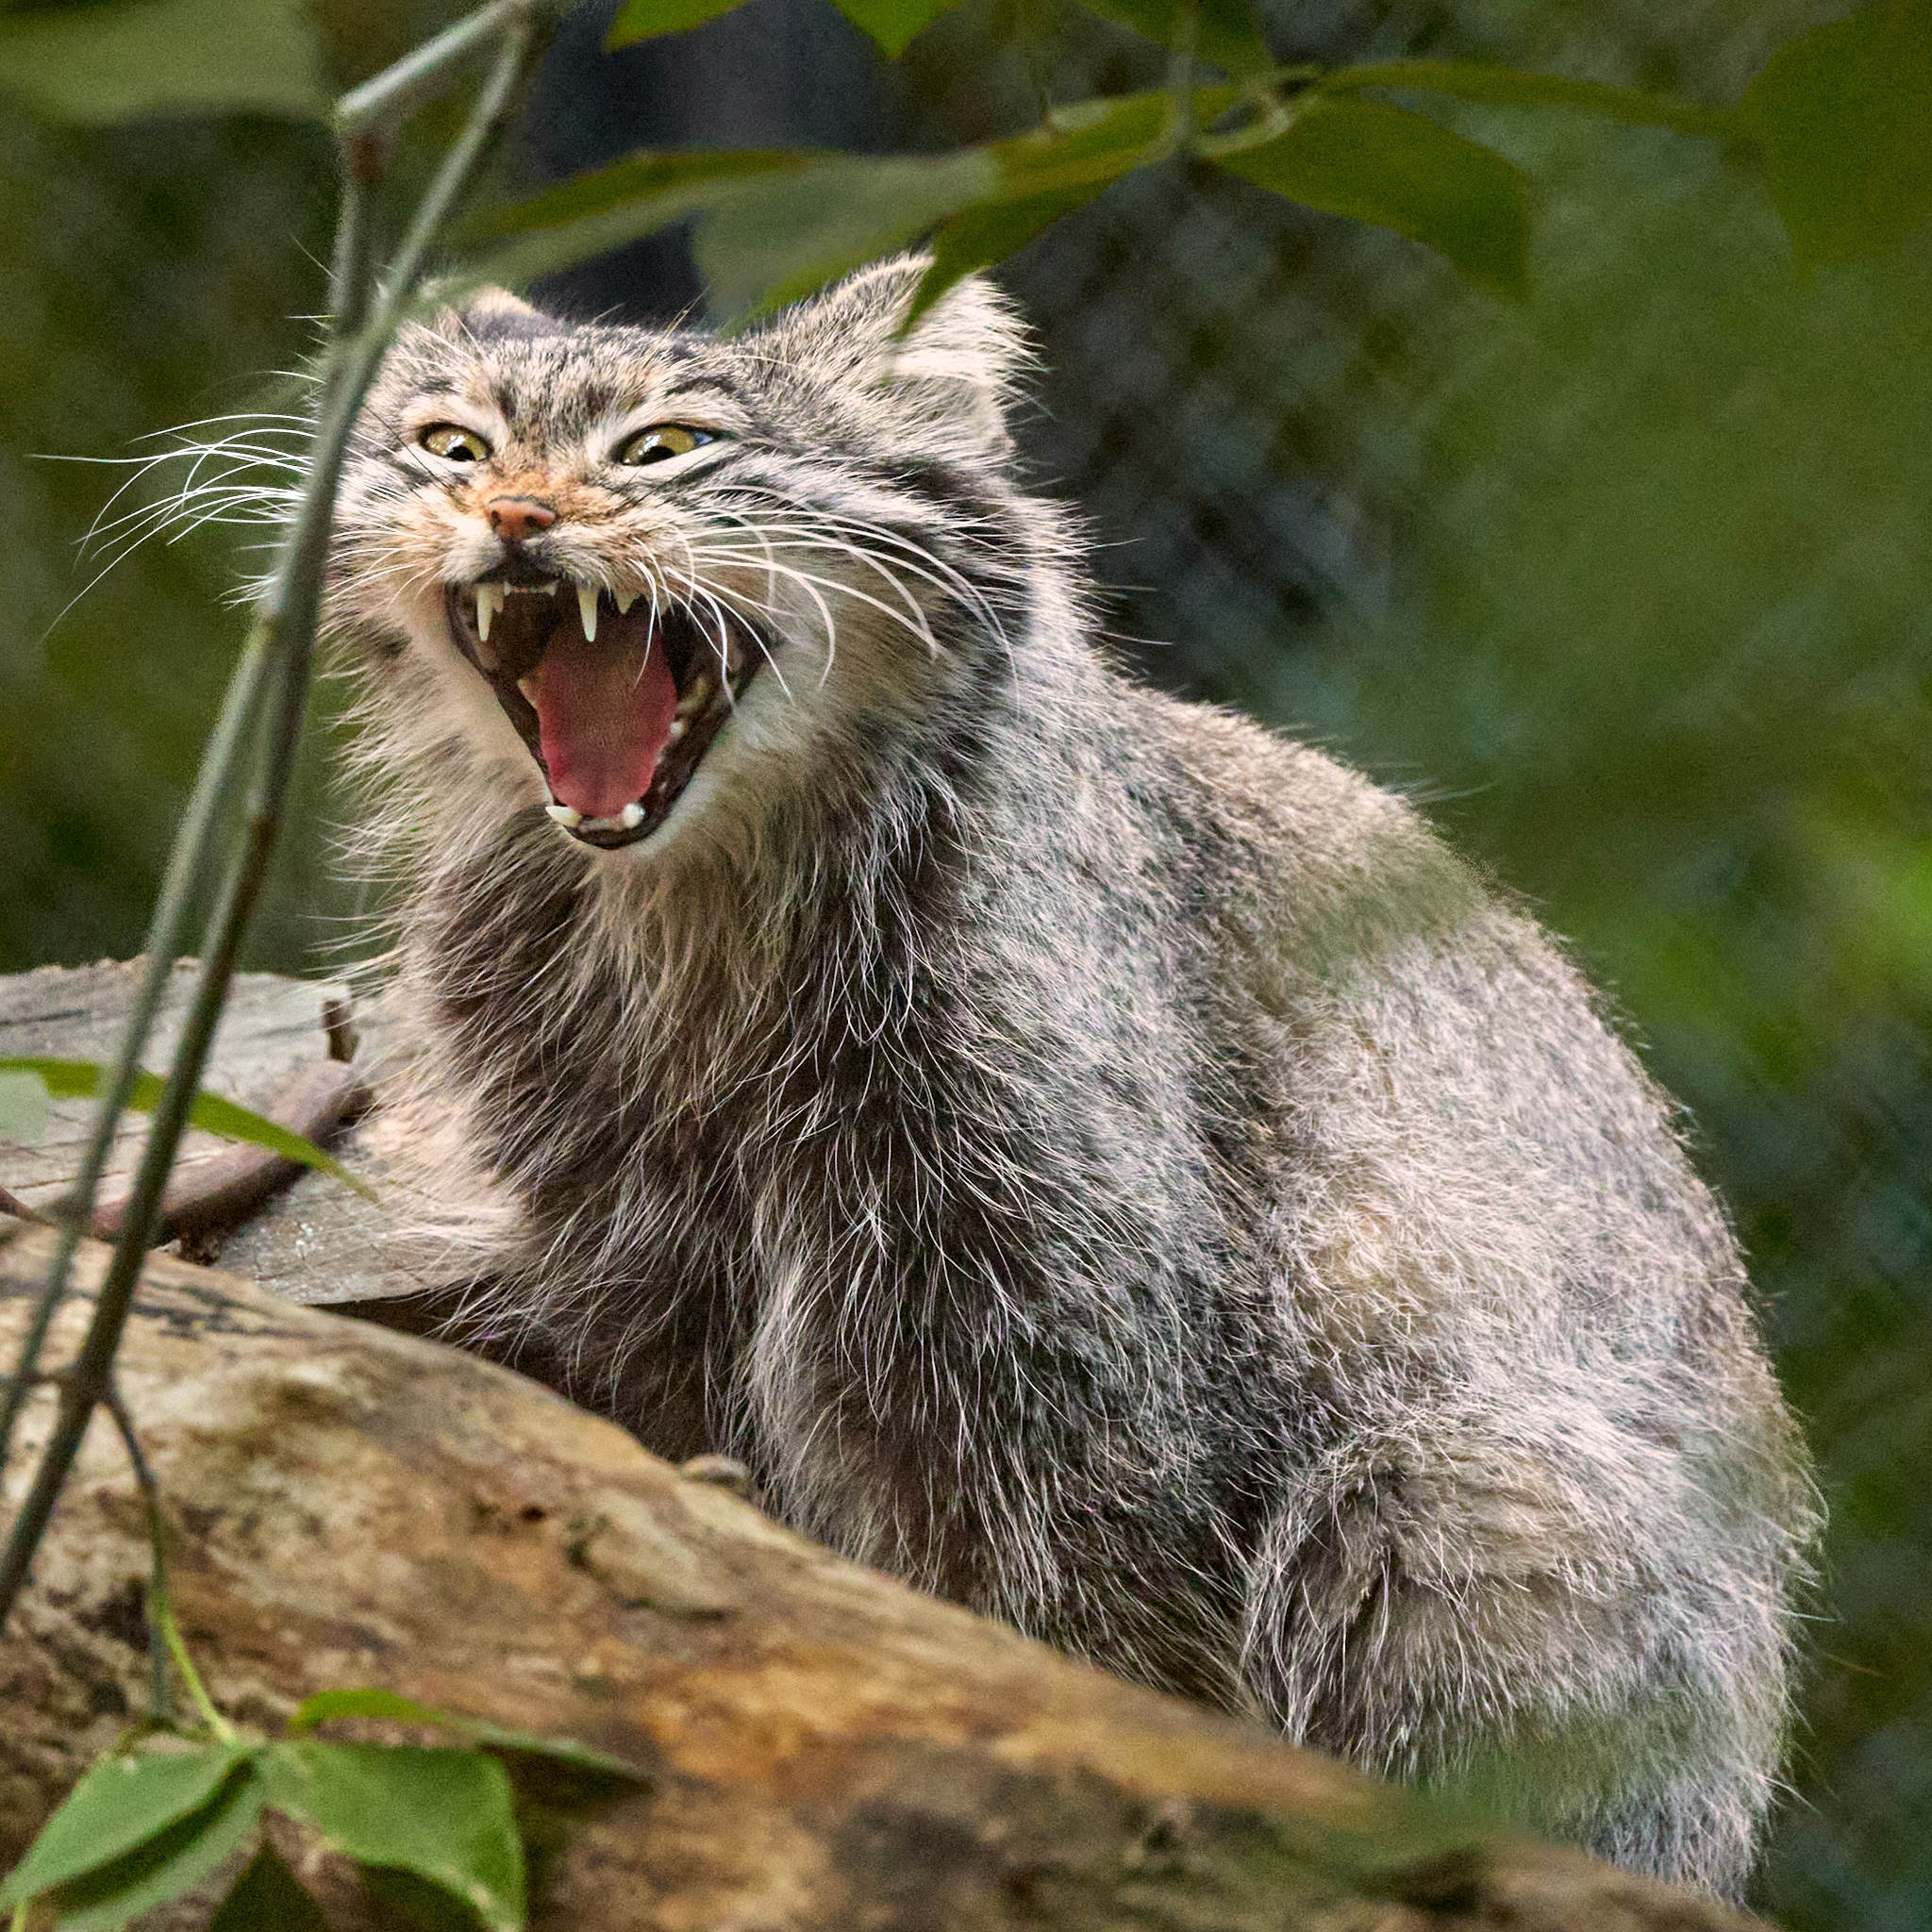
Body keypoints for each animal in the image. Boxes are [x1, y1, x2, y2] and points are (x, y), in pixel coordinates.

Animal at [312, 260, 1807, 1901]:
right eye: (450, 445)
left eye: (665, 447)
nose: (513, 511)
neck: (691, 925)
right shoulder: (650, 1295)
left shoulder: (1060, 1360)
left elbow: (1075, 1641)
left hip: (1448, 1487)